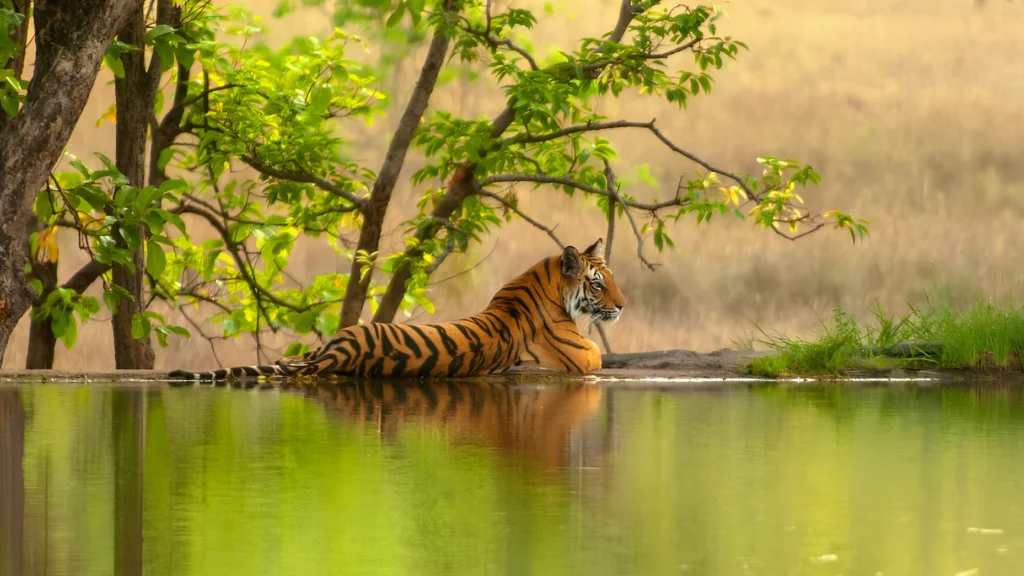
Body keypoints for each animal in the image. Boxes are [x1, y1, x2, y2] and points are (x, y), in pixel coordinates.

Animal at [168, 238, 626, 382]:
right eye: (598, 283)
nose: (622, 306)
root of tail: (340, 353)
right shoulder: (584, 355)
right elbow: (598, 354)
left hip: (327, 343)